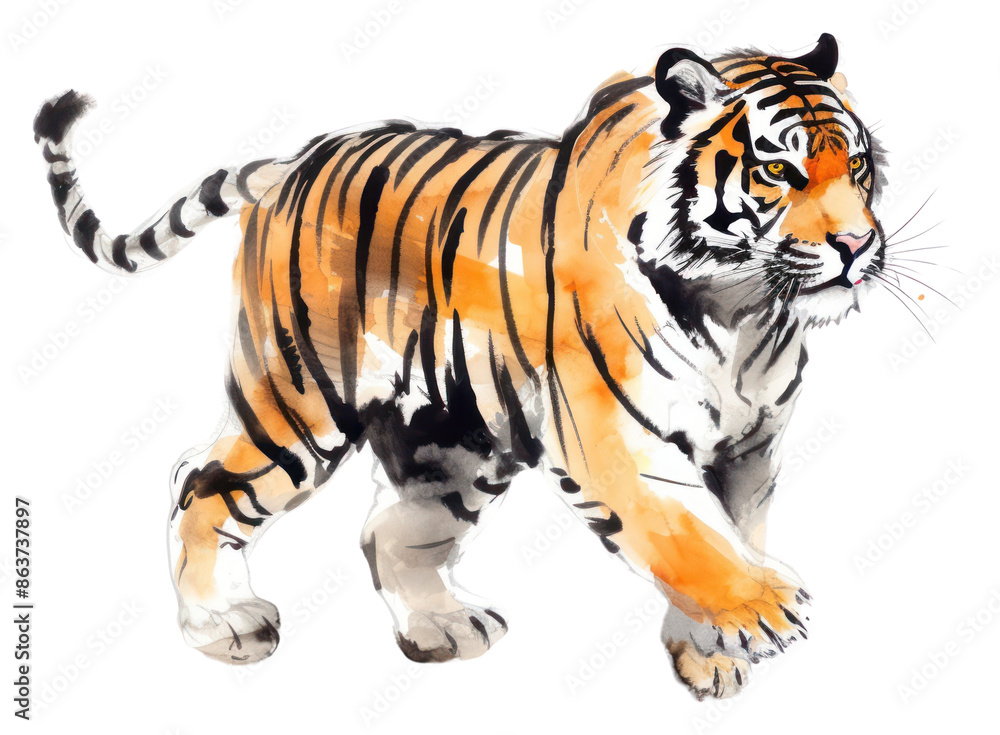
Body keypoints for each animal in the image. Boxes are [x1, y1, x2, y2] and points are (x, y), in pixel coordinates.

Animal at [35, 33, 886, 700]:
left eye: (860, 167)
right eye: (779, 171)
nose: (857, 245)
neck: (744, 310)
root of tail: (288, 165)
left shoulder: (747, 447)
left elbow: (731, 532)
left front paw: (711, 653)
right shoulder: (614, 439)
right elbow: (690, 534)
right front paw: (768, 610)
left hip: (449, 432)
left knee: (391, 527)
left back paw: (442, 626)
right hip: (302, 397)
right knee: (203, 479)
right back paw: (222, 623)